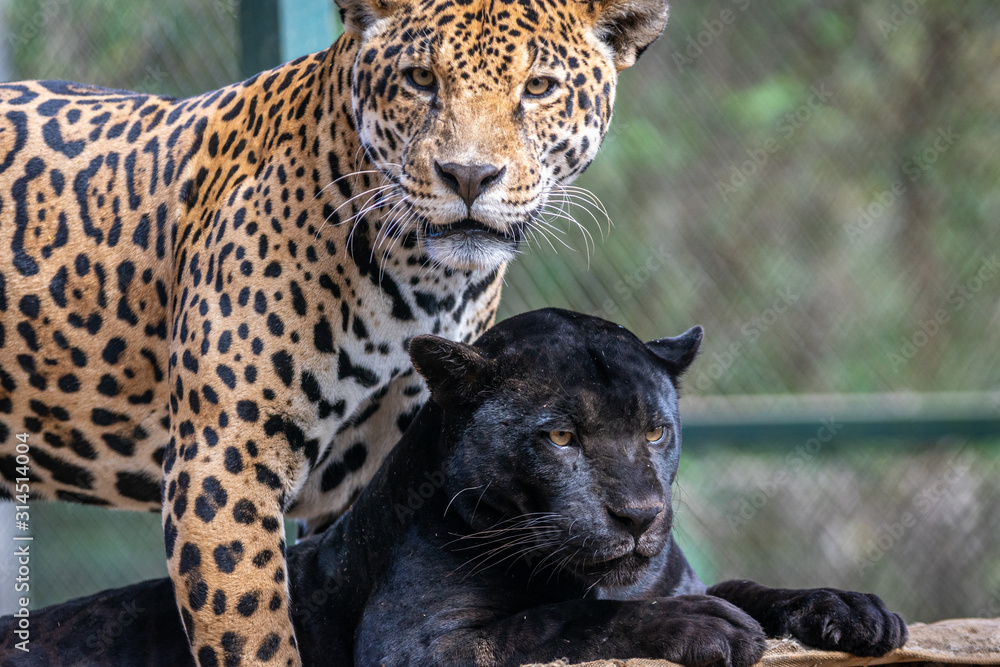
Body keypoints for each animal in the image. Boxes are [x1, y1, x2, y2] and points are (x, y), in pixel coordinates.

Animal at [0, 0, 673, 664]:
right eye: (420, 80)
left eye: (538, 88)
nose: (468, 176)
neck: (423, 283)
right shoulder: (222, 463)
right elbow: (254, 632)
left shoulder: (365, 480)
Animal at [0, 308, 908, 666]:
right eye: (562, 436)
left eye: (656, 429)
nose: (640, 514)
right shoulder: (418, 643)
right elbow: (559, 617)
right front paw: (701, 627)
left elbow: (749, 582)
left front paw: (853, 608)